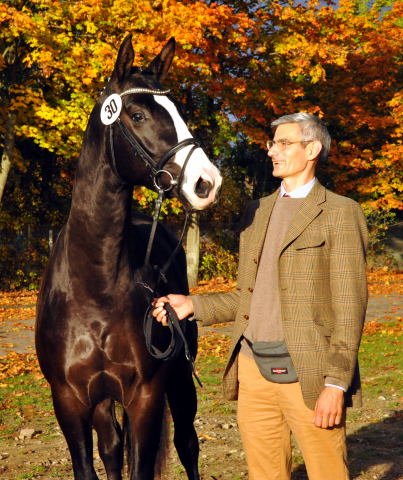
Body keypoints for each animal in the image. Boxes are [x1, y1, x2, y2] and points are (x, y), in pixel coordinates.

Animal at [35, 34, 223, 480]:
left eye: (180, 113)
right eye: (136, 114)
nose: (207, 182)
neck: (95, 291)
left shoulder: (145, 397)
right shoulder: (69, 402)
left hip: (180, 382)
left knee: (187, 444)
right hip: (103, 404)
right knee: (111, 447)